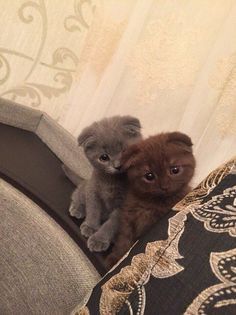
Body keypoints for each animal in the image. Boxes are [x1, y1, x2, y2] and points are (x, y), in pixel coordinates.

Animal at [69, 115, 141, 252]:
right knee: (77, 193)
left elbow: (111, 225)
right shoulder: (93, 191)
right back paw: (77, 208)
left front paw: (99, 240)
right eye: (104, 157)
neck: (112, 182)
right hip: (86, 187)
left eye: (125, 151)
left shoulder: (124, 206)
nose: (118, 165)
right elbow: (93, 210)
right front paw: (91, 227)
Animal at [106, 132, 195, 268]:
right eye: (149, 176)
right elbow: (124, 240)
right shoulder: (128, 217)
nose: (164, 186)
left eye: (175, 170)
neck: (152, 203)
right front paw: (115, 259)